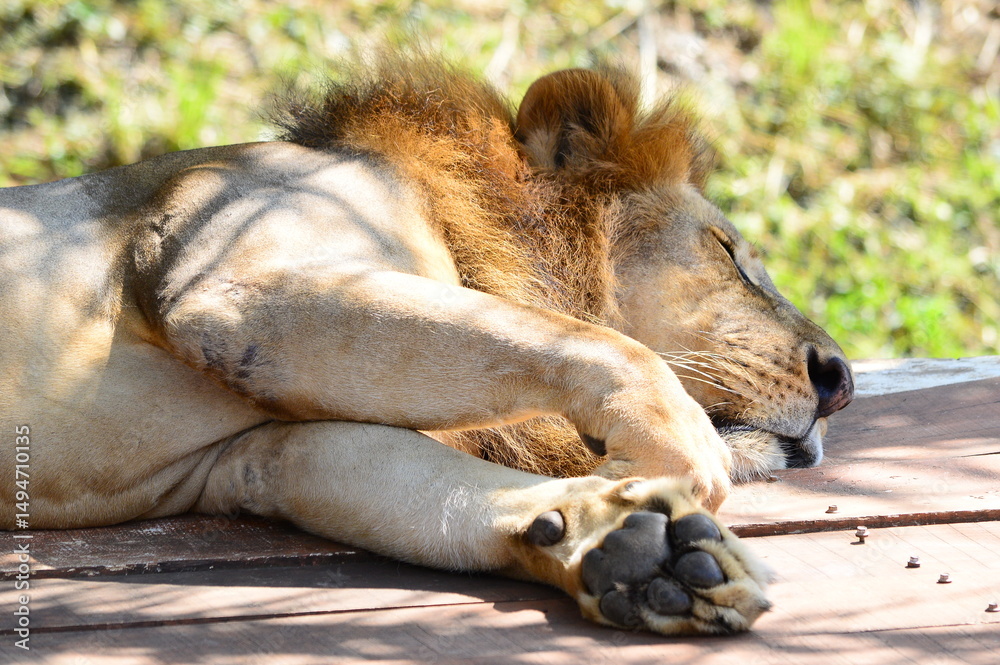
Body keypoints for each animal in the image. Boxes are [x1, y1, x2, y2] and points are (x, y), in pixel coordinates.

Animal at [0, 54, 853, 635]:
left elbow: (453, 491)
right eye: (729, 253)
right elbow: (572, 336)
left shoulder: (268, 452)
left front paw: (640, 548)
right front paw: (676, 443)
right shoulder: (229, 278)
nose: (842, 380)